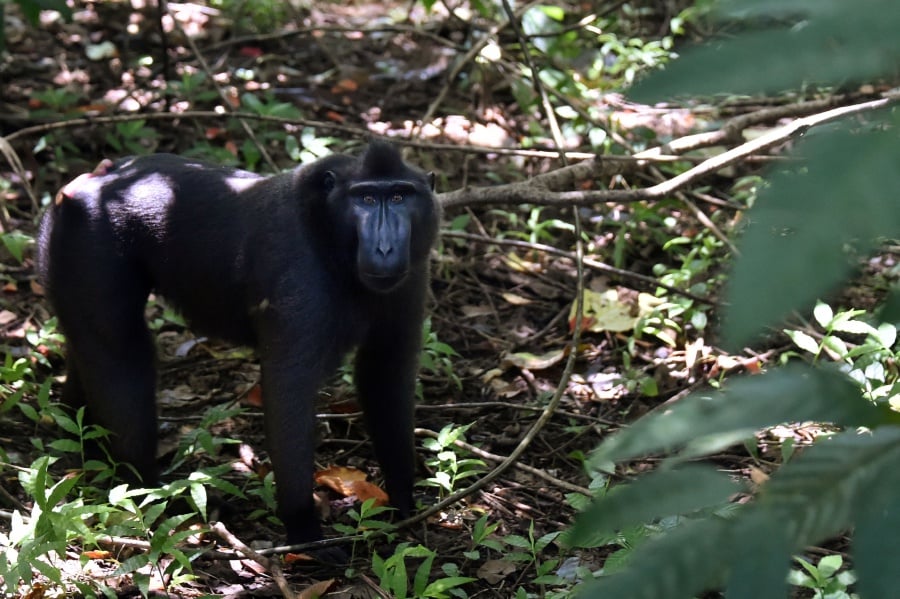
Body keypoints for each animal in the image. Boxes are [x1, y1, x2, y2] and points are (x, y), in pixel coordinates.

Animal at [37, 142, 442, 548]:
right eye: (367, 198)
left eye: (400, 196)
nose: (386, 248)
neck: (326, 232)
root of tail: (86, 182)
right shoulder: (300, 279)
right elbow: (288, 393)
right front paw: (306, 534)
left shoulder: (412, 278)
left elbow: (385, 372)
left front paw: (405, 502)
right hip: (89, 243)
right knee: (120, 353)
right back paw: (145, 489)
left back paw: (81, 438)